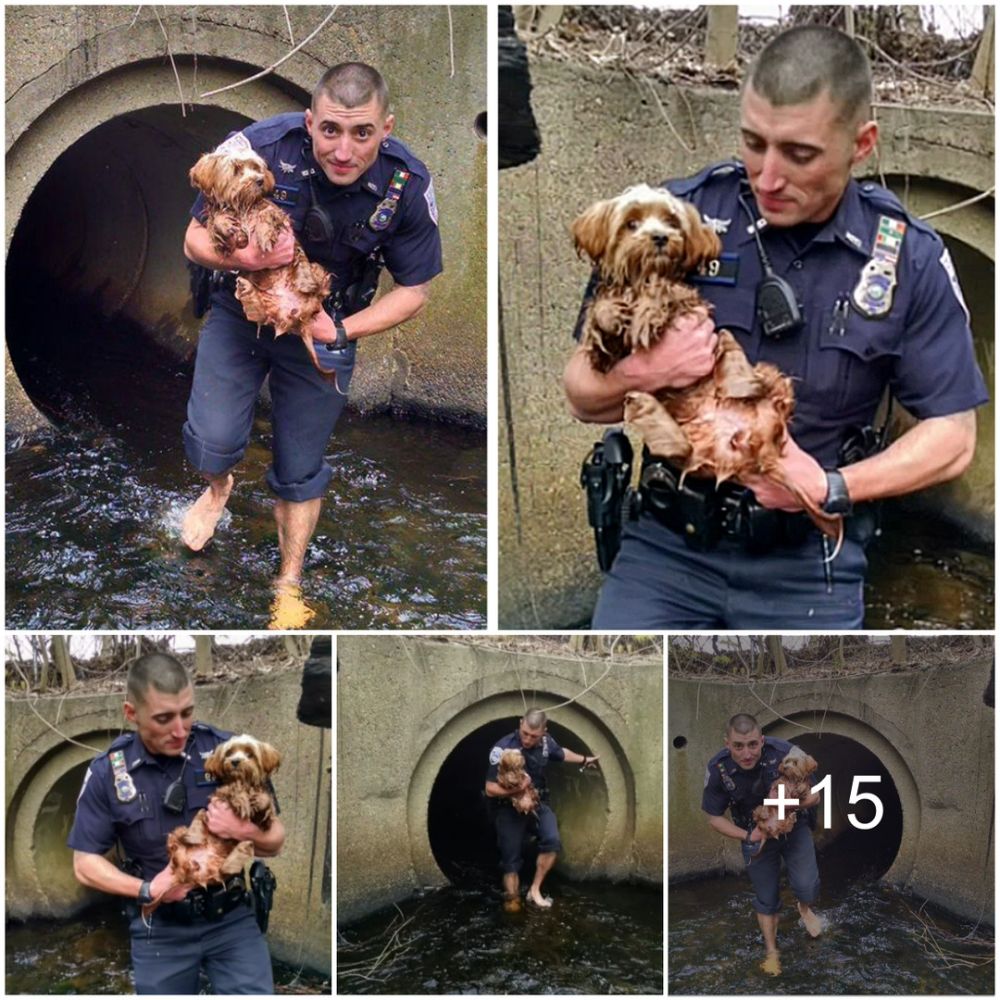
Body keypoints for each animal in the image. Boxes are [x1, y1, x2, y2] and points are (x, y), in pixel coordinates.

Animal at [189, 145, 338, 382]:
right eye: (236, 169)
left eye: (257, 167)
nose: (260, 180)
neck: (243, 205)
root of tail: (299, 317)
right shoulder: (223, 233)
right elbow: (217, 224)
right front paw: (225, 225)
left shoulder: (276, 214)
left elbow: (267, 214)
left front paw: (264, 234)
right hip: (265, 304)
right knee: (258, 313)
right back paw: (247, 291)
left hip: (316, 272)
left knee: (317, 283)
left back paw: (305, 280)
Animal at [572, 184, 844, 552]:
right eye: (631, 223)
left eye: (671, 220)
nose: (660, 237)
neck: (641, 276)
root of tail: (753, 446)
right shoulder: (607, 355)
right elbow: (599, 322)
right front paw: (611, 313)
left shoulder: (689, 302)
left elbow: (665, 290)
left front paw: (648, 309)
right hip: (693, 453)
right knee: (679, 447)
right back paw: (647, 406)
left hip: (764, 374)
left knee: (755, 374)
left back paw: (738, 382)